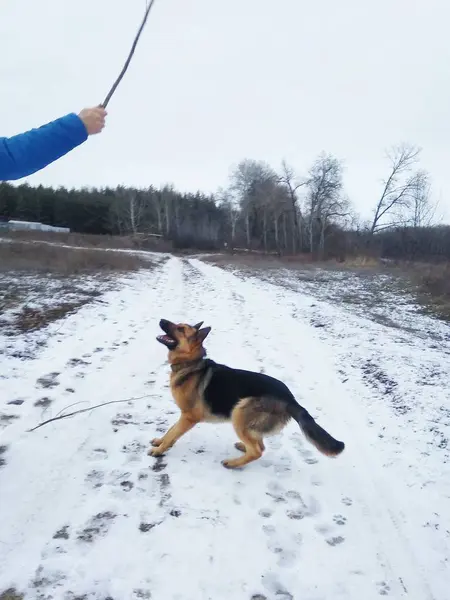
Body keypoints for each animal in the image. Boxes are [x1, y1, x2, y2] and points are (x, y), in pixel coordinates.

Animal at [149, 318, 346, 468]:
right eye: (178, 324)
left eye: (180, 329)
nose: (161, 320)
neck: (190, 363)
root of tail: (291, 399)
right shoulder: (184, 416)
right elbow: (171, 430)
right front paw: (160, 441)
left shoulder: (189, 417)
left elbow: (173, 433)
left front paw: (159, 450)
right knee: (259, 445)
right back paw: (243, 448)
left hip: (239, 411)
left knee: (257, 451)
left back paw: (233, 463)